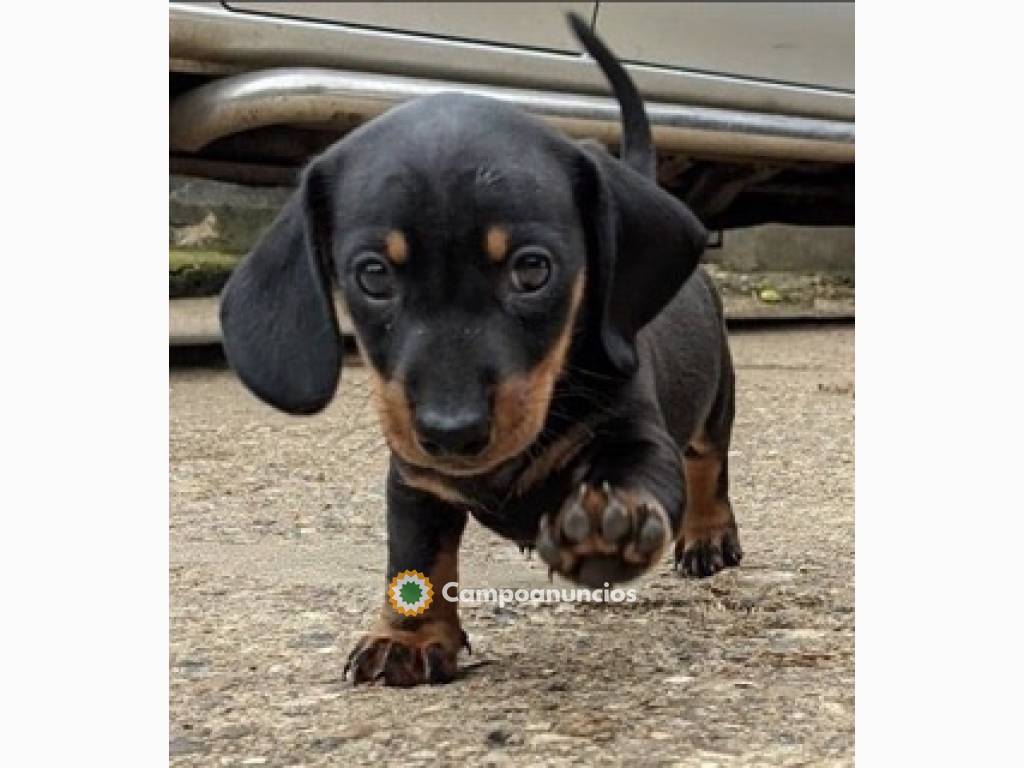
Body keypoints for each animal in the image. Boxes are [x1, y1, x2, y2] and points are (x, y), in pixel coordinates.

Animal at [220, 15, 741, 688]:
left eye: (532, 269)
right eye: (373, 275)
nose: (452, 432)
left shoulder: (637, 432)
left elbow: (642, 475)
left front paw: (610, 526)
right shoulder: (414, 481)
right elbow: (418, 555)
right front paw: (410, 637)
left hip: (717, 397)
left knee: (710, 462)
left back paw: (709, 535)